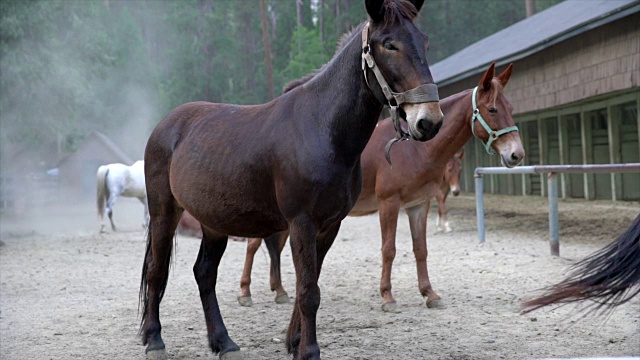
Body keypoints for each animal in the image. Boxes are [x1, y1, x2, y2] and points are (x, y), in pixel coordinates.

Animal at [138, 1, 442, 358]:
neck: (321, 129)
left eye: (424, 42)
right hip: (164, 211)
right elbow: (309, 289)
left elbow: (309, 284)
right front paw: (309, 350)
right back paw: (155, 339)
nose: (429, 121)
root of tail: (165, 125)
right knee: (157, 270)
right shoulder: (301, 222)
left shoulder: (329, 225)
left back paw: (223, 342)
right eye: (389, 44)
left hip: (213, 221)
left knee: (204, 273)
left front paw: (294, 342)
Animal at [240, 63, 524, 314]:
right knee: (253, 245)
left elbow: (421, 250)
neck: (414, 149)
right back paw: (246, 292)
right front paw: (388, 296)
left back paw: (279, 291)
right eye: (492, 109)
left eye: (511, 108)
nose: (516, 154)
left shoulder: (418, 205)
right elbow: (389, 250)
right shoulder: (390, 204)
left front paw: (429, 294)